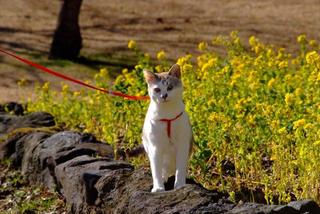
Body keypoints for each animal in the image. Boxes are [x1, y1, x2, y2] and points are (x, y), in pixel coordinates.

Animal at [142, 63, 192, 192]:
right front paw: (158, 188)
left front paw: (180, 185)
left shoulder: (183, 145)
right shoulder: (155, 147)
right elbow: (156, 171)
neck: (167, 114)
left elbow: (180, 169)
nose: (164, 95)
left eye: (169, 87)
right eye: (157, 89)